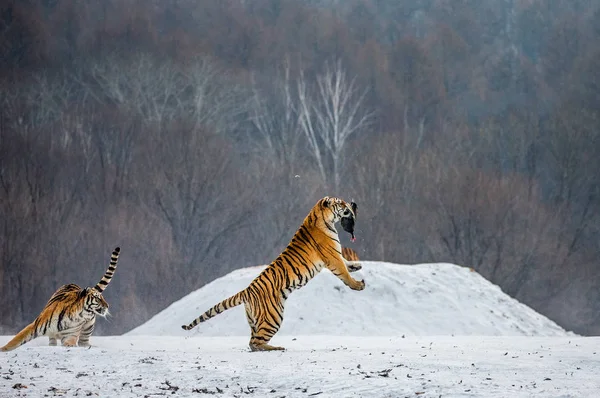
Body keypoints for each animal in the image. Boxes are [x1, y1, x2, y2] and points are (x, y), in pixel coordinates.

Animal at [180, 197, 364, 352]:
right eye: (340, 203)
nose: (351, 204)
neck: (323, 218)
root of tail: (246, 291)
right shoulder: (332, 256)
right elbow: (343, 272)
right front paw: (358, 284)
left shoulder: (336, 255)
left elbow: (346, 263)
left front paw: (356, 265)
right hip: (273, 317)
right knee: (256, 343)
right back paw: (277, 348)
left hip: (256, 320)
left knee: (252, 341)